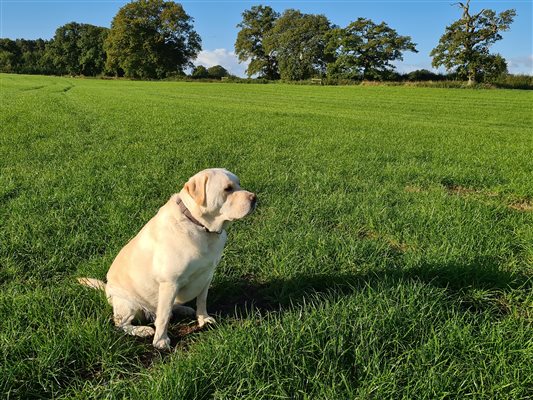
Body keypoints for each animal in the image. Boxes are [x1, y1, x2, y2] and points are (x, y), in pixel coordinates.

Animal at [78, 167, 256, 348]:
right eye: (227, 189)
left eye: (239, 183)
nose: (255, 198)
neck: (200, 226)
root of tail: (107, 288)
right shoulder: (169, 282)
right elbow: (163, 317)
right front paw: (161, 341)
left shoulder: (207, 275)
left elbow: (202, 300)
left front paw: (203, 319)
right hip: (128, 304)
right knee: (123, 324)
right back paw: (142, 330)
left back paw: (183, 309)